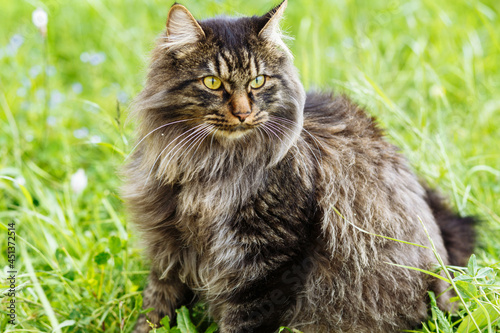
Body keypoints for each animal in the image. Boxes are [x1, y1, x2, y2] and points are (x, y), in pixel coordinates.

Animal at [123, 1, 474, 330]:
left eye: (258, 81)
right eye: (212, 82)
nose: (243, 113)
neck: (209, 163)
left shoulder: (269, 261)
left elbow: (241, 319)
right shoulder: (168, 247)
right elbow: (155, 307)